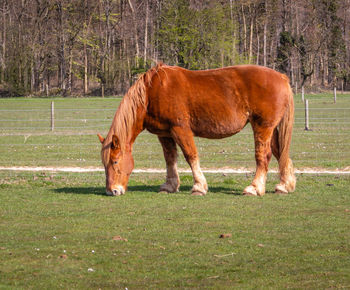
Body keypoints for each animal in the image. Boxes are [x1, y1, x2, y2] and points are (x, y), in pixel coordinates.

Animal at [98, 62, 296, 196]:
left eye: (115, 162)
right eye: (104, 163)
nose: (112, 191)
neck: (151, 93)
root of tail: (281, 77)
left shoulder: (180, 130)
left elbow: (190, 156)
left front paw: (199, 186)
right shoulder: (165, 134)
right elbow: (170, 158)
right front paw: (170, 186)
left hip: (263, 127)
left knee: (264, 156)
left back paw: (254, 188)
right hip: (271, 129)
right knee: (280, 152)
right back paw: (284, 185)